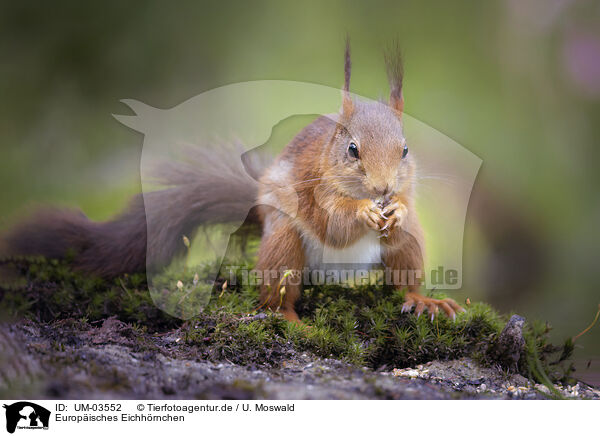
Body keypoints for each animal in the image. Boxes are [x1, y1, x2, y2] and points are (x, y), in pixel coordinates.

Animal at [1, 41, 464, 324]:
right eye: (352, 150)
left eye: (405, 151)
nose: (383, 190)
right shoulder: (314, 192)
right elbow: (332, 222)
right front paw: (363, 212)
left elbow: (404, 210)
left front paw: (395, 208)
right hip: (284, 243)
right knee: (276, 294)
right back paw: (288, 318)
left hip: (408, 246)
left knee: (404, 282)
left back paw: (424, 301)